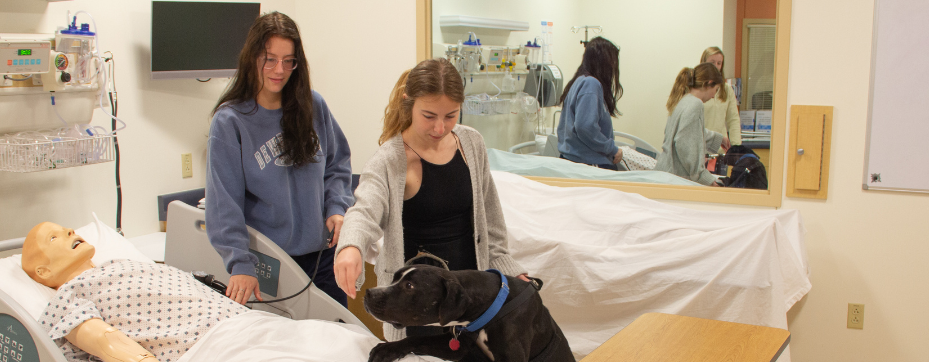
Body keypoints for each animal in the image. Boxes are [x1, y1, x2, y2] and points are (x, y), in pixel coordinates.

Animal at [362, 264, 572, 360]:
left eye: (409, 286)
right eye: (394, 278)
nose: (368, 293)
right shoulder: (457, 347)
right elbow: (415, 339)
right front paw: (388, 349)